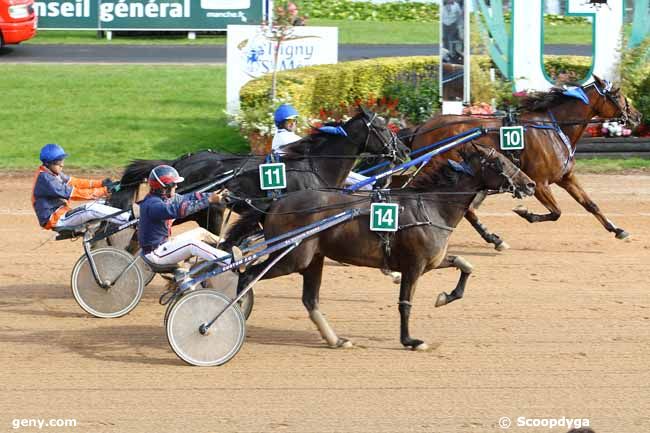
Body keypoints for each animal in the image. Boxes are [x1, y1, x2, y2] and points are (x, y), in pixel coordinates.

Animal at [230, 143, 536, 350]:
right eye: (500, 162)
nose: (531, 184)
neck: (432, 206)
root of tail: (275, 203)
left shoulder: (432, 261)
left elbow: (465, 264)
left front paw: (445, 297)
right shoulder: (414, 266)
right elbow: (405, 304)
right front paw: (410, 340)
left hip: (312, 259)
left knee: (310, 300)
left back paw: (336, 339)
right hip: (292, 258)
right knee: (247, 276)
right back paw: (236, 312)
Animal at [402, 76, 640, 248]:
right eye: (617, 95)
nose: (637, 116)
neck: (553, 128)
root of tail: (421, 128)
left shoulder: (566, 177)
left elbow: (590, 204)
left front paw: (618, 230)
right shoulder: (539, 183)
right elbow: (556, 212)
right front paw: (524, 212)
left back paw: (492, 238)